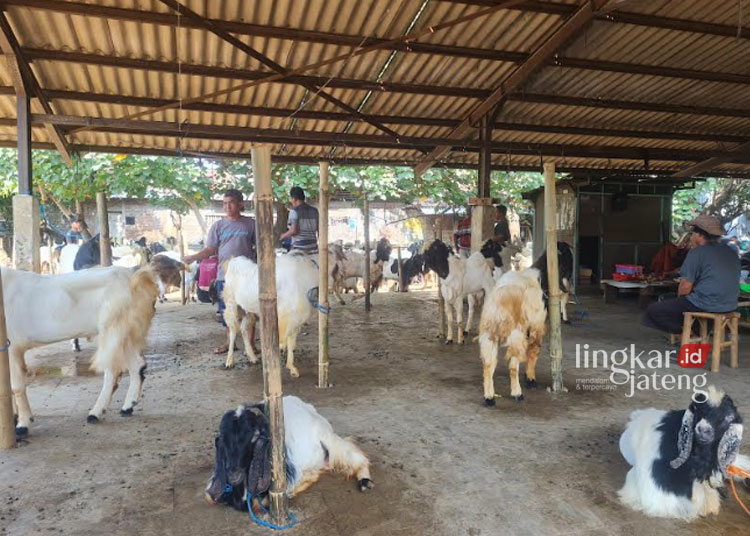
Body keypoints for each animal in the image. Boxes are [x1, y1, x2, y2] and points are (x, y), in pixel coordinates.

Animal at [3, 264, 159, 436]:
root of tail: (134, 277)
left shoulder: (12, 347)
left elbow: (16, 387)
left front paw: (22, 425)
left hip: (113, 330)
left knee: (112, 371)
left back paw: (95, 413)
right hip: (127, 333)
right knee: (136, 365)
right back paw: (127, 407)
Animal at [206, 396, 374, 508]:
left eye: (255, 436)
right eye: (224, 440)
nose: (233, 475)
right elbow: (210, 497)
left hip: (329, 438)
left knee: (356, 457)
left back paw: (365, 481)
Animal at [482, 270, 548, 404]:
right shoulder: (536, 325)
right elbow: (534, 351)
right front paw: (531, 379)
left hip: (489, 336)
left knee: (488, 365)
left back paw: (489, 397)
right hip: (516, 336)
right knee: (513, 367)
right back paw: (517, 393)